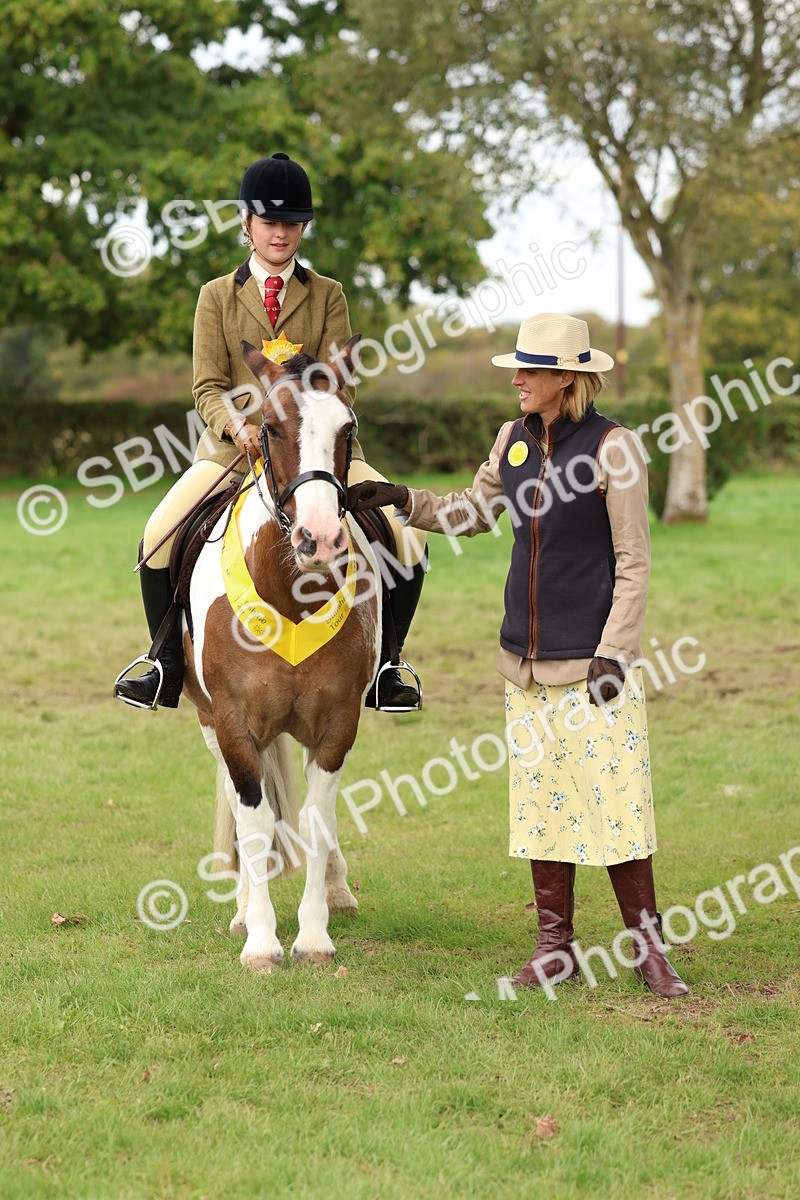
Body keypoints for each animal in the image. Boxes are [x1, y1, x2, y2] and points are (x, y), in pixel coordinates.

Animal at [182, 335, 381, 972]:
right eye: (268, 428)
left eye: (348, 427)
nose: (319, 540)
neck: (288, 595)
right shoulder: (233, 722)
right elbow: (252, 820)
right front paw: (262, 941)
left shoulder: (338, 722)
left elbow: (318, 822)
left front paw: (314, 935)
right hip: (208, 720)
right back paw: (244, 908)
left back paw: (337, 890)